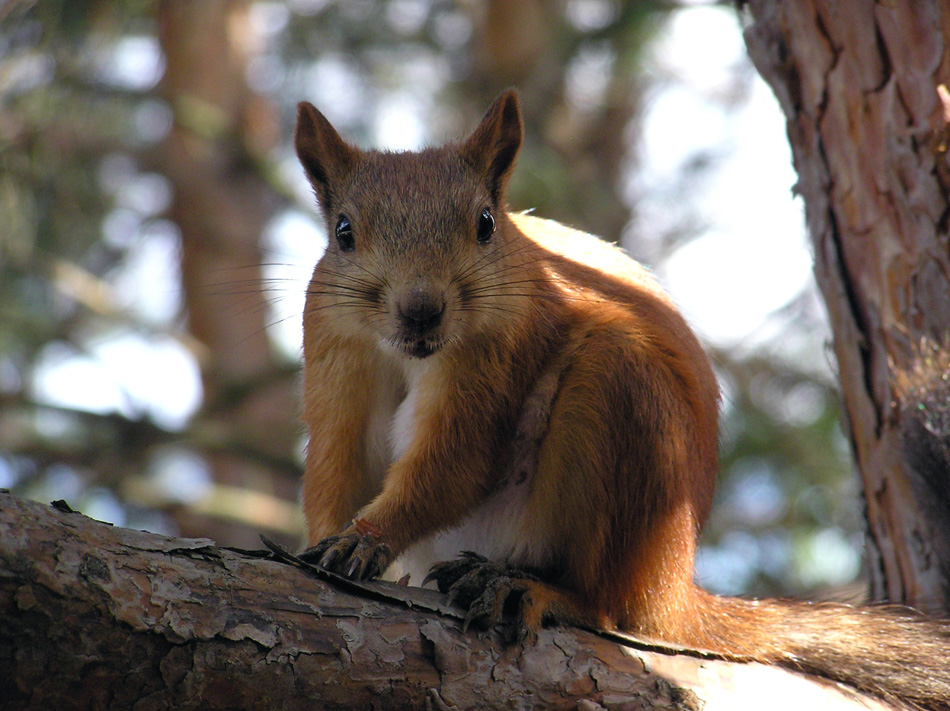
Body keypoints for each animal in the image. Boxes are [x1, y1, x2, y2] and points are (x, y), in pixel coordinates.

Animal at [294, 92, 950, 708]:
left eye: (484, 223)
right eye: (343, 232)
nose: (421, 309)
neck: (411, 353)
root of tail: (672, 587)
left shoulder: (501, 351)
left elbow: (456, 465)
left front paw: (371, 535)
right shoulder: (335, 356)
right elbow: (337, 468)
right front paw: (336, 541)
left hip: (616, 401)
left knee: (607, 606)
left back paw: (531, 588)